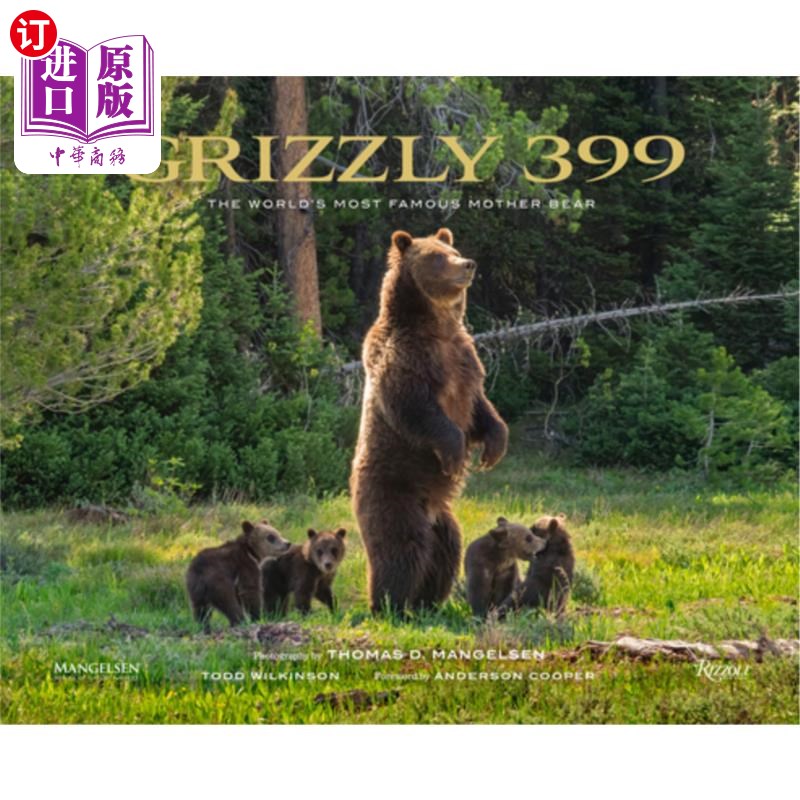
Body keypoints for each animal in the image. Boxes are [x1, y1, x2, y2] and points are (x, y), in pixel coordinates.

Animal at [350, 228, 508, 614]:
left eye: (453, 249)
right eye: (437, 257)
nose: (468, 264)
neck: (436, 327)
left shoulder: (465, 359)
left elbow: (481, 408)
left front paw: (493, 448)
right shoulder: (404, 359)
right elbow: (417, 409)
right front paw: (455, 453)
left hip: (443, 518)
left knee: (446, 548)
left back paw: (428, 602)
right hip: (392, 491)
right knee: (401, 547)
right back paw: (389, 604)